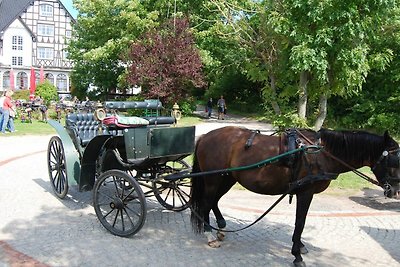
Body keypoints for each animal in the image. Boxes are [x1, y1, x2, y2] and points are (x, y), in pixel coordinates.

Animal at [190, 128, 400, 267]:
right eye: (393, 161)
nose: (395, 191)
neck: (321, 153)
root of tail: (205, 136)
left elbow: (302, 222)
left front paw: (299, 245)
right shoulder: (305, 193)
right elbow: (300, 222)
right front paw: (297, 255)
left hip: (227, 178)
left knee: (214, 201)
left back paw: (220, 227)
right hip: (213, 179)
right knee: (206, 203)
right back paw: (209, 234)